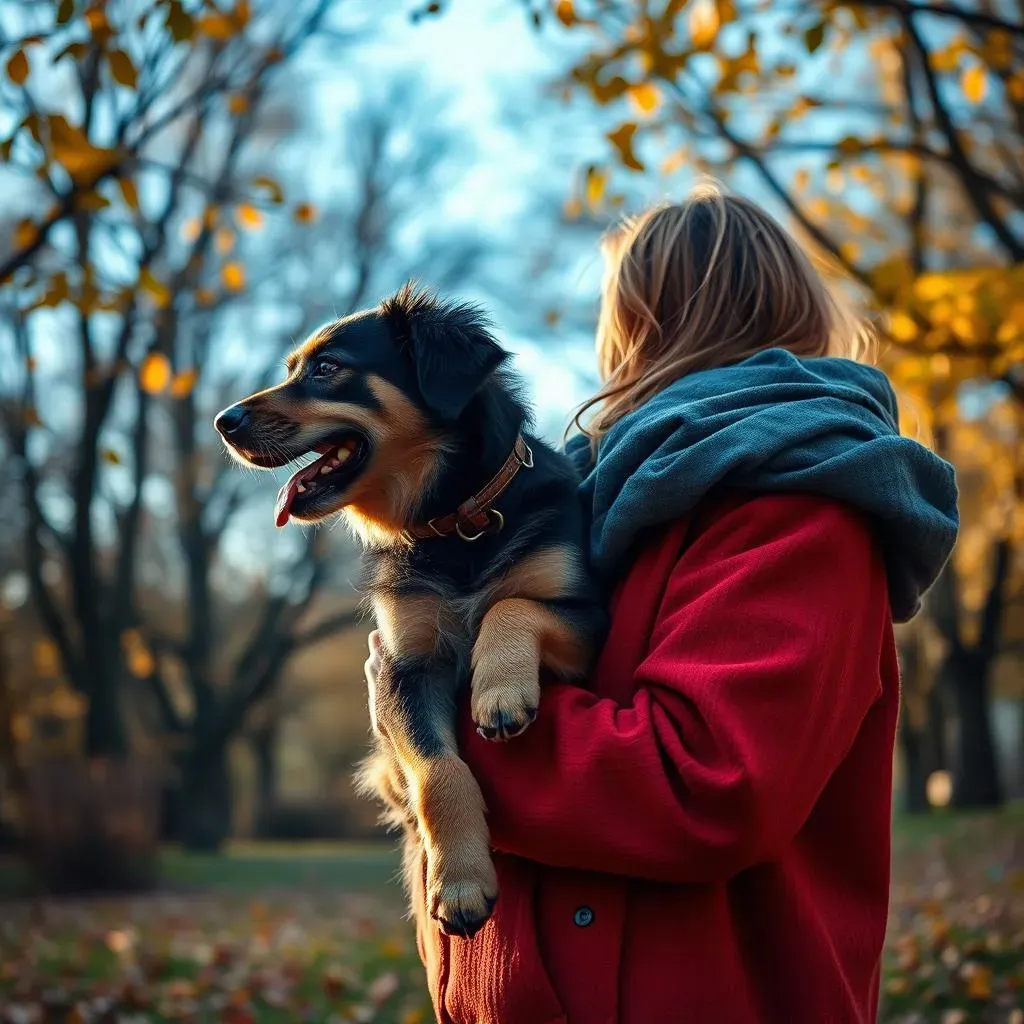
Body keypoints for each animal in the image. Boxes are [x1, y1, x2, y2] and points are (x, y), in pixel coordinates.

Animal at [212, 284, 602, 937]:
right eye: (293, 368)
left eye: (326, 368)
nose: (223, 422)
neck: (457, 522)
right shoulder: (404, 663)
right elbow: (434, 769)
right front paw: (460, 882)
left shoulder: (586, 620)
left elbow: (513, 603)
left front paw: (499, 689)